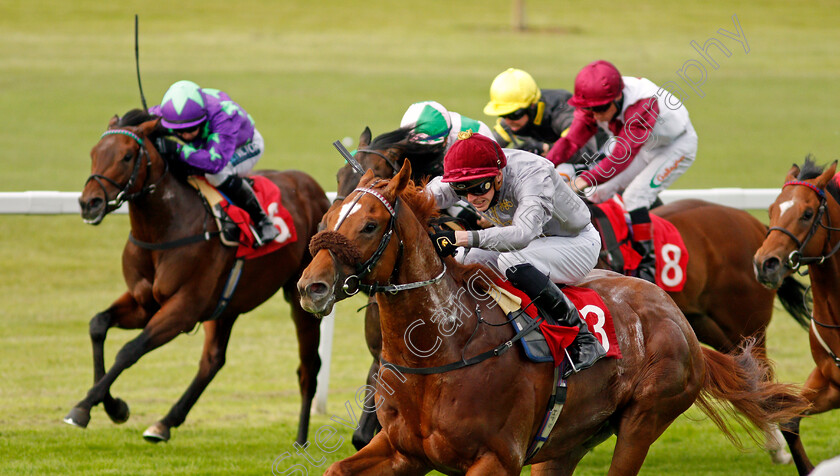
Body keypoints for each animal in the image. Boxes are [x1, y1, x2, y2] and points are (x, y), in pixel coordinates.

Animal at [65, 109, 330, 444]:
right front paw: (113, 407)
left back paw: (301, 440)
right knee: (213, 360)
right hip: (227, 303)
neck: (164, 229)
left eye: (126, 156)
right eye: (94, 153)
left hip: (302, 298)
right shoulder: (144, 303)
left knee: (309, 368)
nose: (90, 203)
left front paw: (84, 407)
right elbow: (98, 325)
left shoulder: (184, 308)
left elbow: (129, 350)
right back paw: (165, 423)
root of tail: (314, 187)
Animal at [298, 162, 812, 474]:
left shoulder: (495, 458)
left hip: (647, 417)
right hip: (567, 441)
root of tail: (670, 312)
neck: (446, 350)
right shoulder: (403, 450)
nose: (311, 287)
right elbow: (337, 465)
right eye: (326, 219)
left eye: (369, 225)